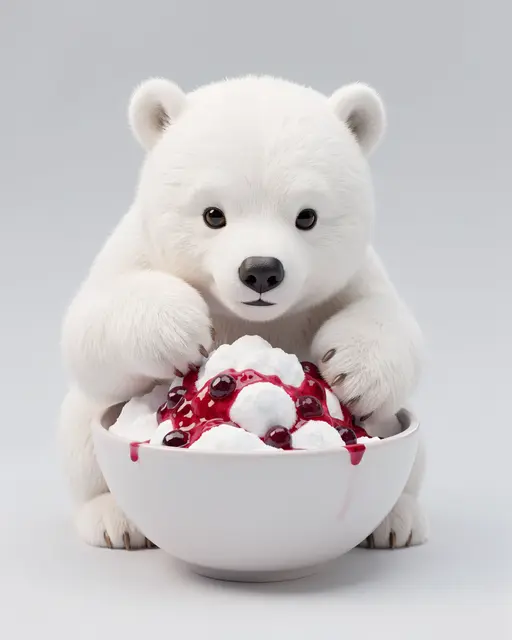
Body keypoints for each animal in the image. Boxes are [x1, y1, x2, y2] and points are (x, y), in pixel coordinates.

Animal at [58, 75, 427, 551]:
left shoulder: (349, 279)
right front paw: (178, 328)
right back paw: (112, 518)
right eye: (213, 214)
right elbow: (88, 331)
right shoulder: (136, 251)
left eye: (307, 216)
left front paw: (353, 369)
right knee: (81, 436)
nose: (262, 270)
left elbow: (391, 317)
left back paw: (397, 519)